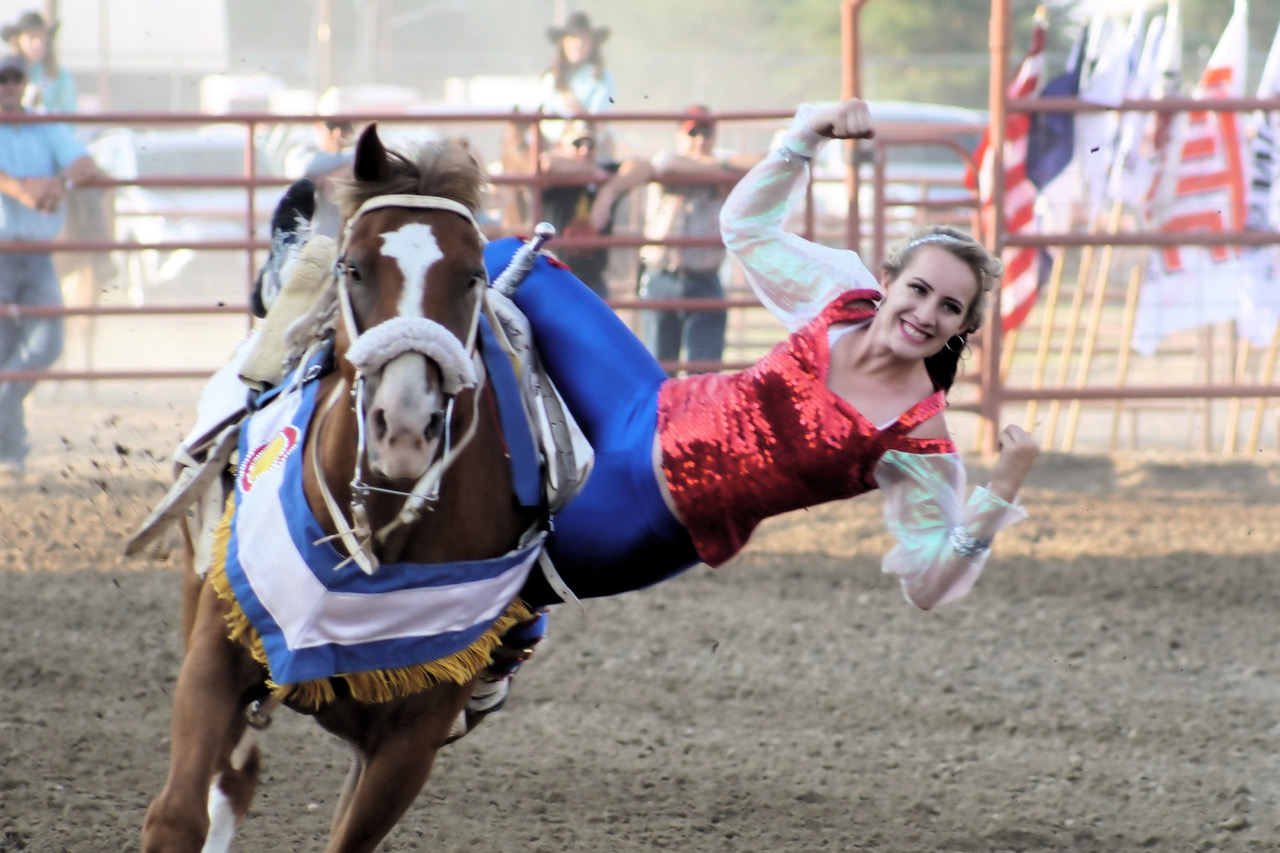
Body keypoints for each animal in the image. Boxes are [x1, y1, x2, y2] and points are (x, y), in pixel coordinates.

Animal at [142, 126, 547, 850]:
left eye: (471, 275)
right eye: (355, 268)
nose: (406, 424)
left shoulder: (409, 739)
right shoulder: (219, 649)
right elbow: (176, 816)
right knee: (232, 776)